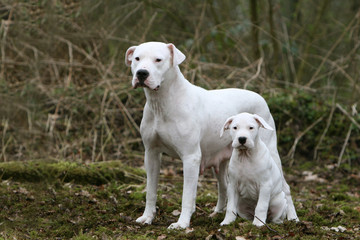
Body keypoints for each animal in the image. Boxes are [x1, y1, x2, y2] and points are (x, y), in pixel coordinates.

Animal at [125, 41, 296, 229]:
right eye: (137, 58)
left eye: (158, 60)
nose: (141, 73)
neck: (162, 101)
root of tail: (260, 96)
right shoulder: (151, 153)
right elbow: (151, 190)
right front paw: (147, 217)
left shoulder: (190, 157)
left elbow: (187, 195)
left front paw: (182, 223)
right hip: (222, 161)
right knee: (224, 186)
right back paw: (219, 213)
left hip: (271, 152)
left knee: (285, 188)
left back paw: (293, 218)